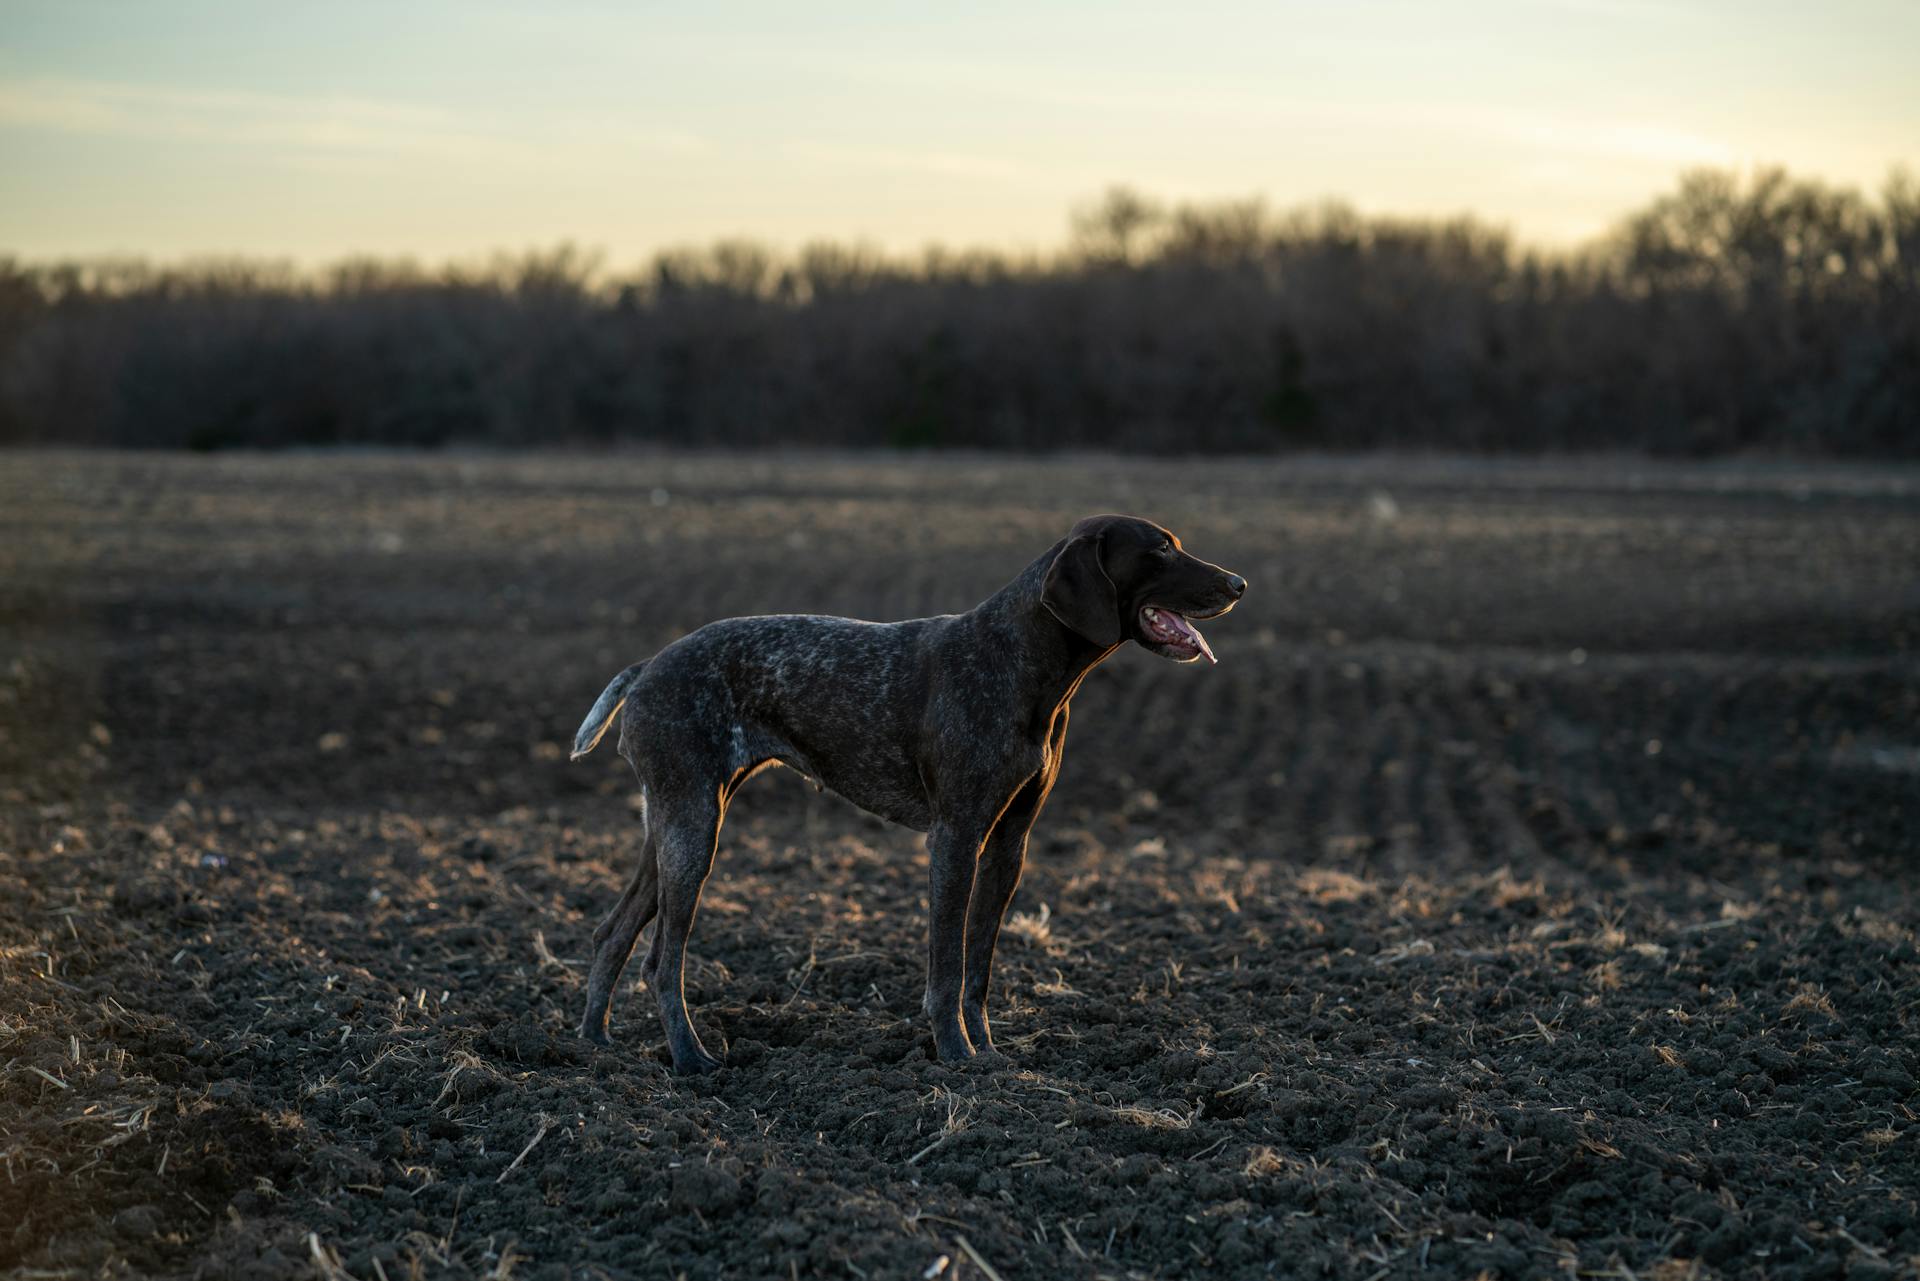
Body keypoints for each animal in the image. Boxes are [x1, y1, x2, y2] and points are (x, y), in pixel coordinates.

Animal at [564, 510, 1244, 1075]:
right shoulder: (956, 838)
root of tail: (648, 665)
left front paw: (988, 1055)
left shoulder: (1009, 845)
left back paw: (595, 1047)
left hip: (674, 826)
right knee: (661, 960)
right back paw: (690, 1060)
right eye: (1162, 548)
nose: (1238, 583)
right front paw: (955, 1057)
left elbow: (978, 968)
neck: (1024, 662)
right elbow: (946, 967)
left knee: (612, 933)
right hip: (693, 829)